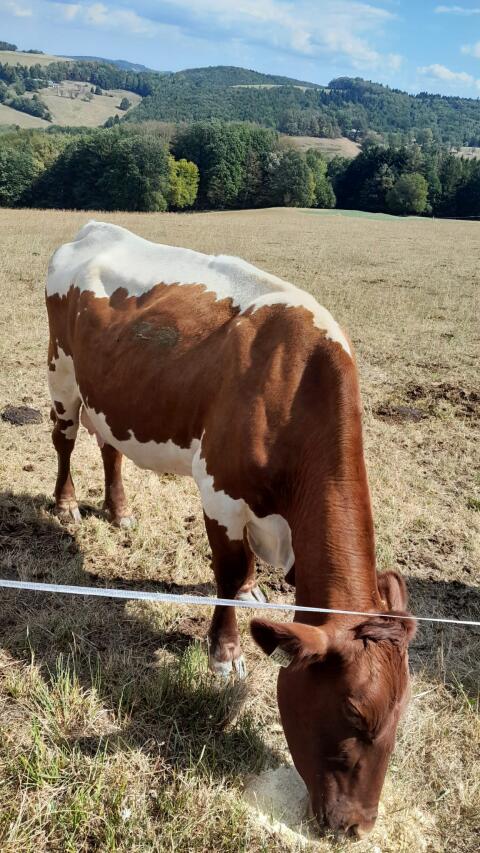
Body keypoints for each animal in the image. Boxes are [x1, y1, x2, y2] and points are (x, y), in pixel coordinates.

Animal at [46, 221, 416, 839]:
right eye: (352, 713)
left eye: (400, 712)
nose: (357, 828)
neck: (295, 390)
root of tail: (95, 227)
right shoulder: (219, 489)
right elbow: (228, 568)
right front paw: (224, 655)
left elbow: (250, 576)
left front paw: (252, 596)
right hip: (62, 373)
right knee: (66, 439)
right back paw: (66, 503)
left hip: (114, 387)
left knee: (109, 445)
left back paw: (119, 509)